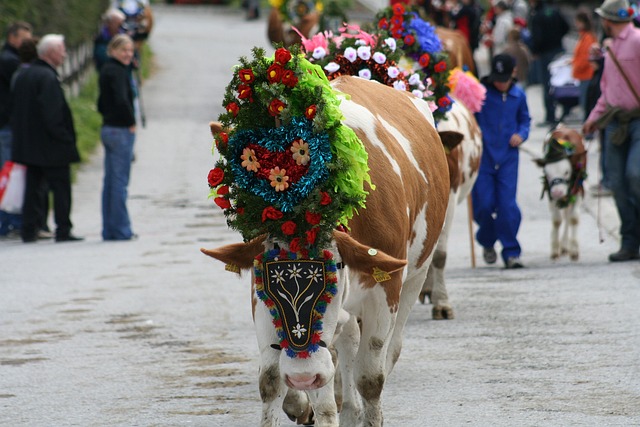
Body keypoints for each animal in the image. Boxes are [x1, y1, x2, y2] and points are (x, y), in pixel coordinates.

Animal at [200, 46, 450, 424]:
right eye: (266, 274)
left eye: (338, 266)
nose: (304, 375)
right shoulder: (261, 298)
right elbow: (273, 382)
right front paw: (304, 402)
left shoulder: (385, 288)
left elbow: (370, 378)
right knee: (343, 346)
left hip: (415, 277)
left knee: (388, 350)